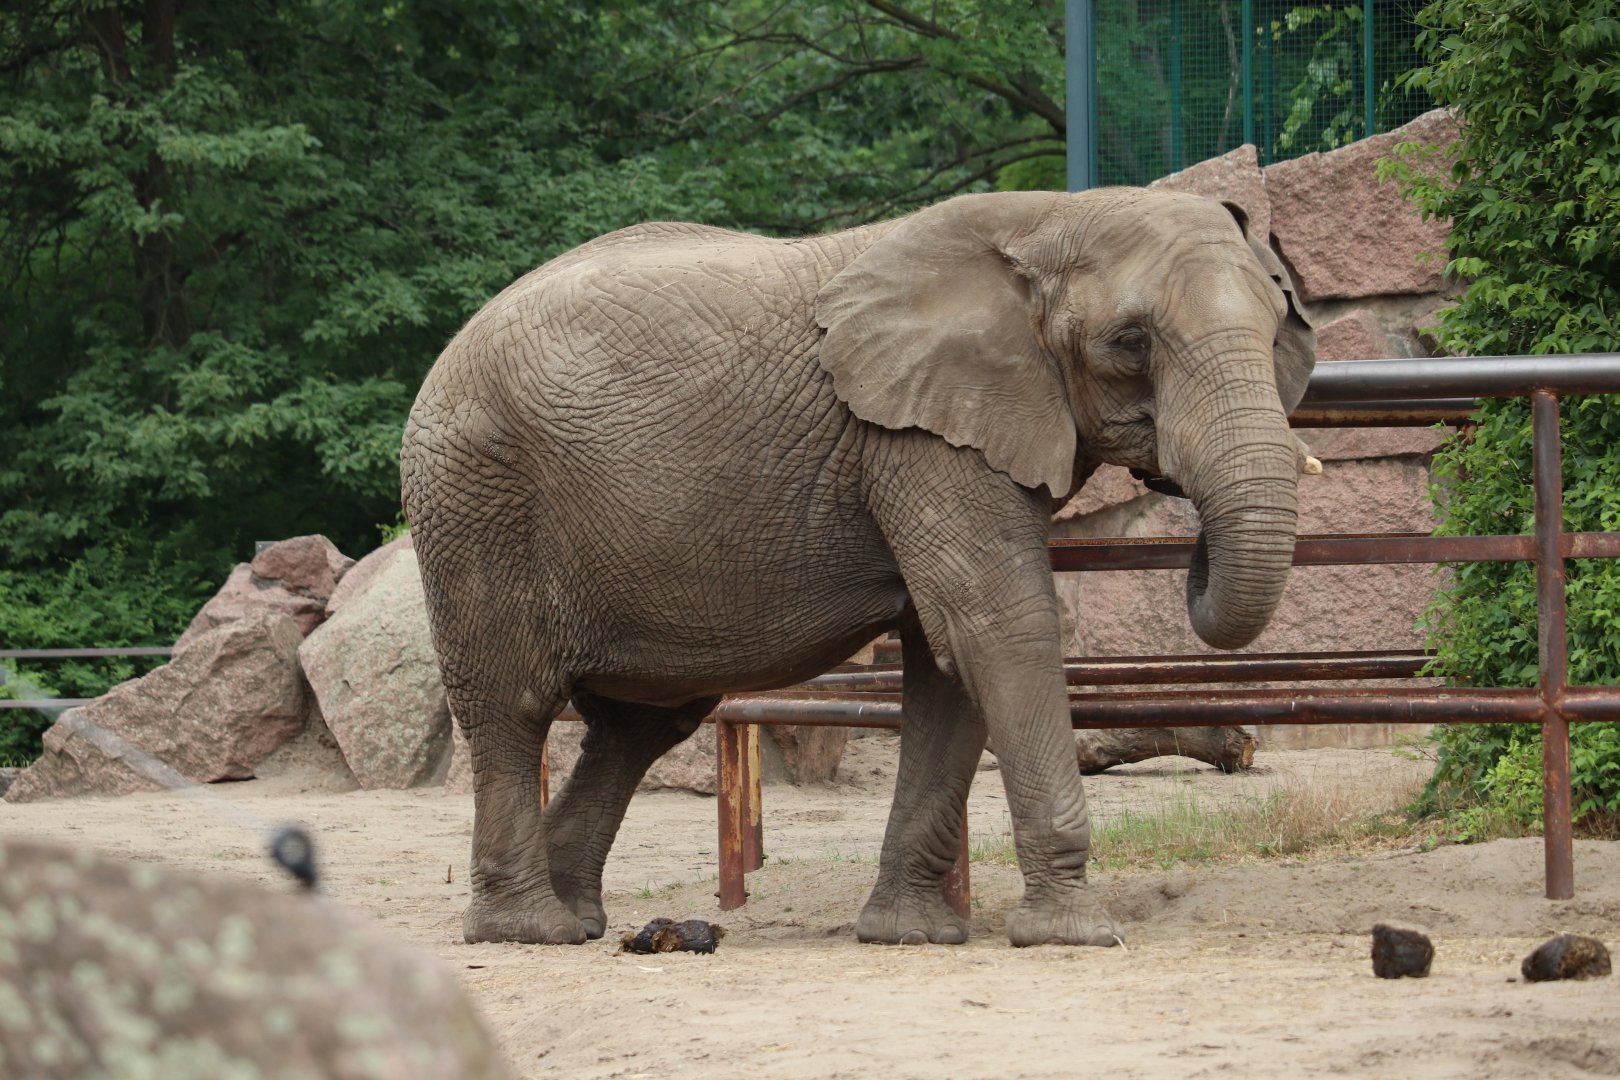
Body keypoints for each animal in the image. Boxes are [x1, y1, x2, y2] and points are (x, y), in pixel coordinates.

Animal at [400, 188, 1314, 948]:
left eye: (1277, 331)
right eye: (1130, 342)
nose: (1171, 494)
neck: (1053, 216)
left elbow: (947, 664)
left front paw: (911, 935)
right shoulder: (918, 434)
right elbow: (999, 623)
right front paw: (1076, 937)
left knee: (639, 725)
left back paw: (582, 919)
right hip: (476, 500)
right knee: (515, 707)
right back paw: (529, 930)